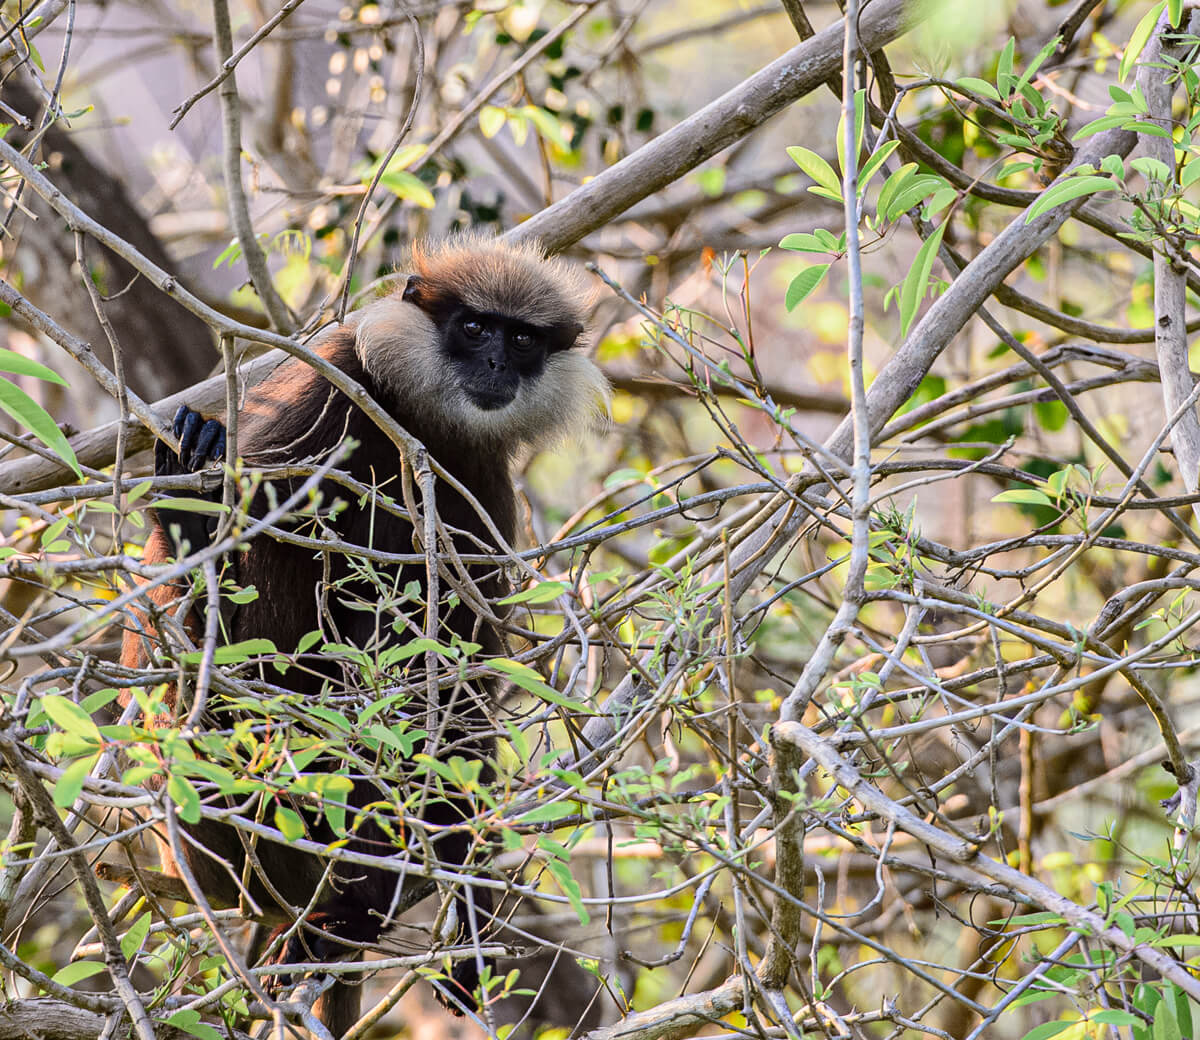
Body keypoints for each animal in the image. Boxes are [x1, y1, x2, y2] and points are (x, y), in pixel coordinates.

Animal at [119, 234, 610, 1037]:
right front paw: (192, 508)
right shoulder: (328, 390)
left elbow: (467, 680)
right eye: (474, 327)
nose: (497, 365)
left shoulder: (476, 478)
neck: (415, 417)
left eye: (523, 340)